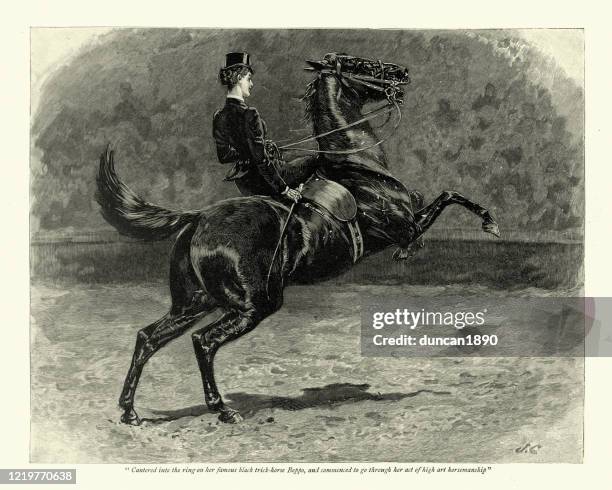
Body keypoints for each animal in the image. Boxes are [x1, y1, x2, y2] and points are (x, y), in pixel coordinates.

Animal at [94, 51, 498, 424]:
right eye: (360, 65)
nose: (402, 74)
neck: (358, 164)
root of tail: (197, 220)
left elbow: (445, 195)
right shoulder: (408, 225)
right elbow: (448, 196)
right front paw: (488, 223)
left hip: (193, 302)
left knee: (148, 337)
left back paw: (129, 411)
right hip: (254, 305)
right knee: (203, 342)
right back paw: (222, 409)